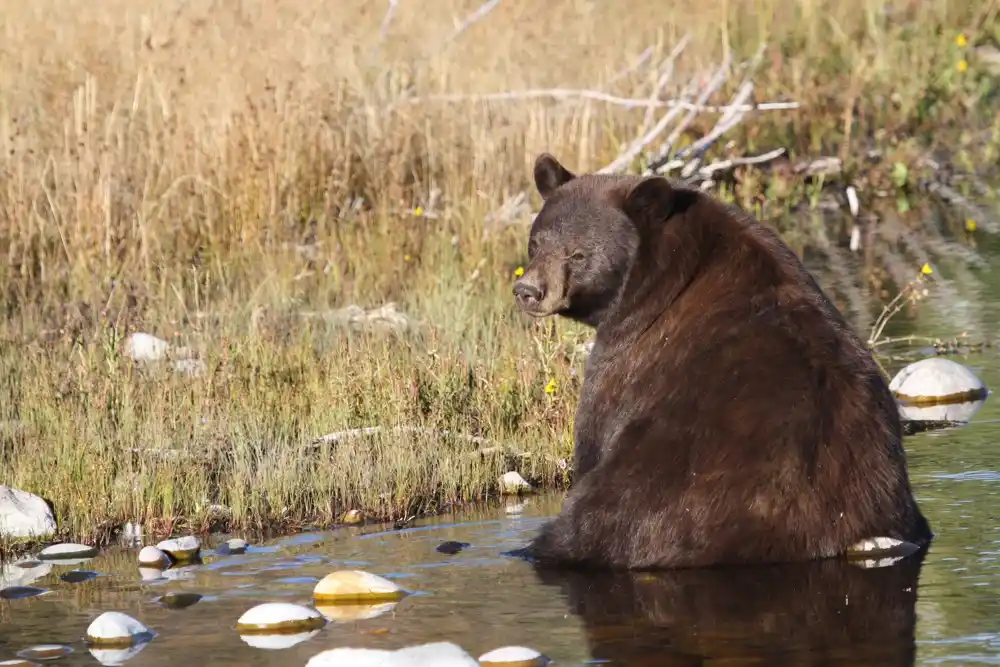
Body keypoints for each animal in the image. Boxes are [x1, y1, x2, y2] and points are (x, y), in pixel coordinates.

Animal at [512, 154, 932, 572]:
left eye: (579, 254)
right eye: (536, 243)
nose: (528, 291)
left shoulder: (626, 356)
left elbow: (593, 433)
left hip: (656, 496)